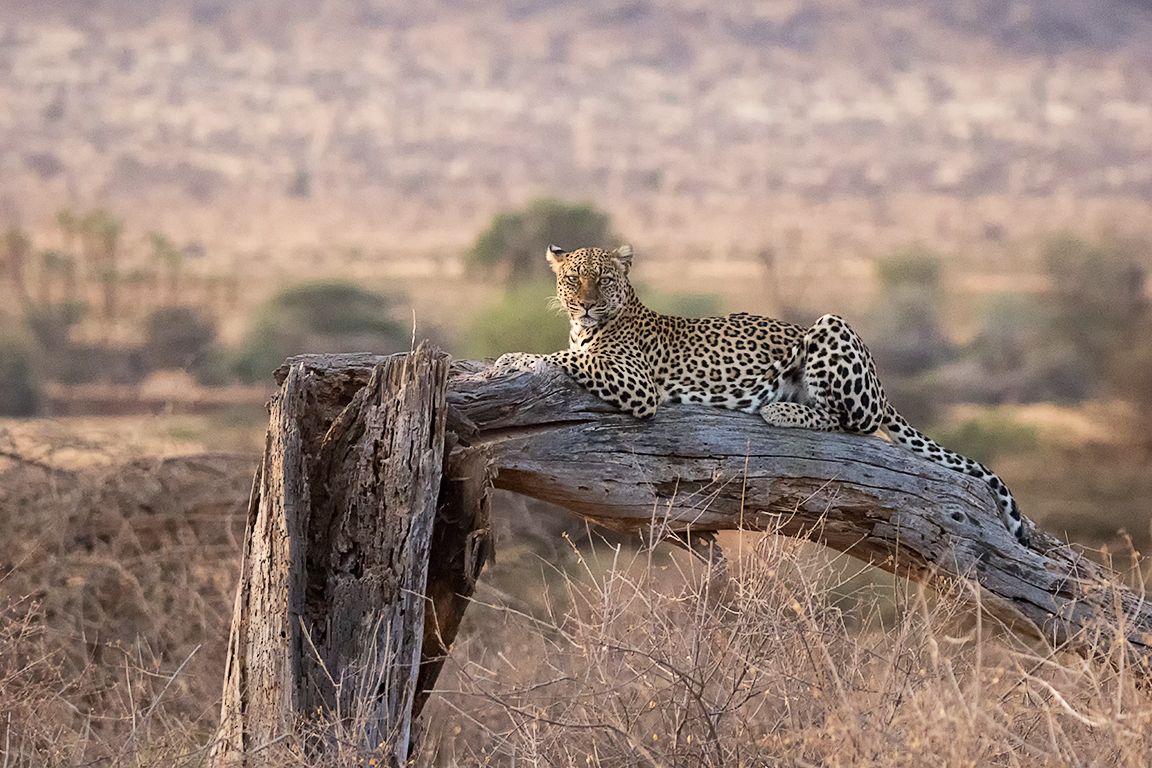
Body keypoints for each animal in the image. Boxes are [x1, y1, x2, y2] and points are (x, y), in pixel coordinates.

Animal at [494, 244, 1029, 545]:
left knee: (851, 422)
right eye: (571, 280)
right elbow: (565, 355)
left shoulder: (635, 382)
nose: (585, 305)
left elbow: (563, 358)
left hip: (829, 326)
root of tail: (882, 386)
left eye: (602, 279)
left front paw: (512, 358)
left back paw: (781, 410)